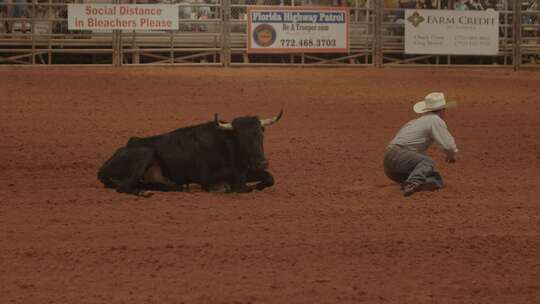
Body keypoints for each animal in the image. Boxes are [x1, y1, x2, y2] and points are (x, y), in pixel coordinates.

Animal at [97, 110, 282, 196]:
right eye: (242, 138)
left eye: (261, 135)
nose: (262, 162)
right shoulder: (207, 177)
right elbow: (240, 186)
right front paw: (228, 187)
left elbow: (269, 177)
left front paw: (257, 185)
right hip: (146, 153)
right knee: (124, 186)